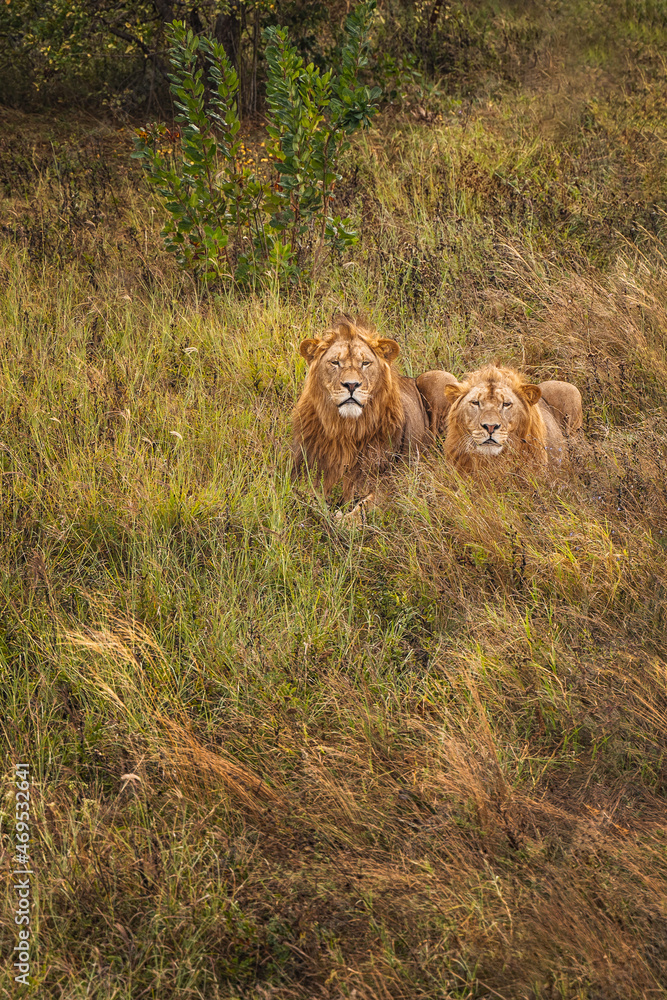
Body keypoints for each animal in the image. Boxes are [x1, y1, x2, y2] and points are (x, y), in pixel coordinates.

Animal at [291, 319, 430, 511]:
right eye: (335, 362)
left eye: (365, 363)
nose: (351, 385)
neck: (346, 429)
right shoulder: (306, 474)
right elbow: (305, 500)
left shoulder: (390, 484)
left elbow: (363, 509)